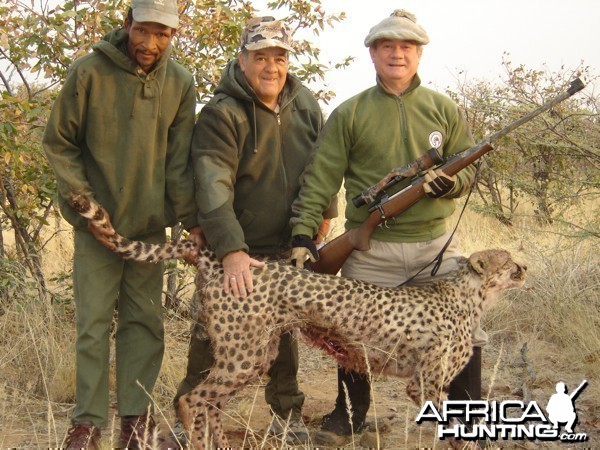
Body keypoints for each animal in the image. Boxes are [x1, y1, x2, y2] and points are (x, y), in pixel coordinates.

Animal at [68, 194, 524, 450]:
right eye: (508, 262)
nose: (523, 269)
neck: (468, 294)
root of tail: (218, 258)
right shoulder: (426, 383)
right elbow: (451, 421)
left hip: (255, 354)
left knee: (212, 401)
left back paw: (221, 445)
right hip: (243, 354)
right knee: (193, 399)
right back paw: (201, 443)